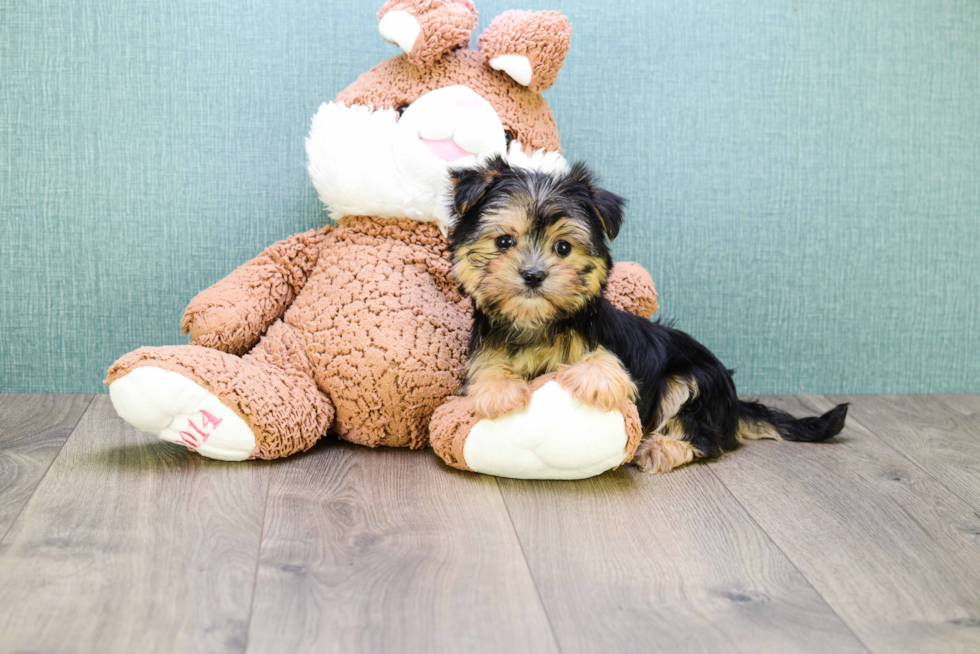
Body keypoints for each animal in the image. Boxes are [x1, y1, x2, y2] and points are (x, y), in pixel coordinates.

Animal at [448, 159, 848, 476]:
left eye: (562, 247)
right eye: (504, 242)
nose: (533, 275)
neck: (538, 323)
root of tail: (733, 403)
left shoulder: (607, 345)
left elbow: (607, 364)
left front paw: (596, 379)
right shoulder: (486, 348)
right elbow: (488, 367)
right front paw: (499, 390)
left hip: (693, 380)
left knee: (705, 438)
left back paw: (660, 448)